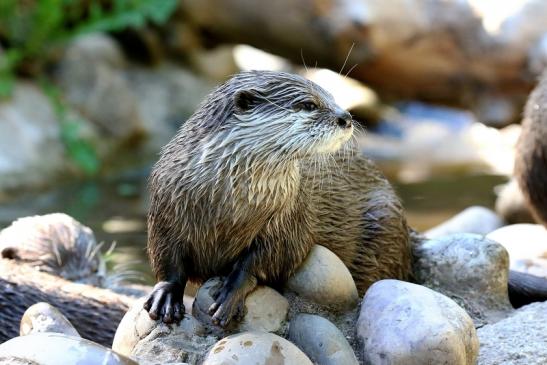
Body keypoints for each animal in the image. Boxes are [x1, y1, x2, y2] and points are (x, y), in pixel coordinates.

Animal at [146, 71, 412, 324]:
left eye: (333, 97)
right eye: (309, 105)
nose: (345, 117)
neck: (225, 204)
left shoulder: (289, 219)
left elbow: (267, 259)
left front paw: (230, 293)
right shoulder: (164, 210)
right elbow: (167, 260)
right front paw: (166, 296)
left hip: (385, 222)